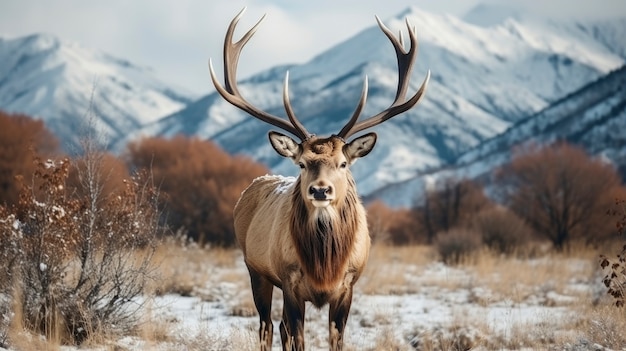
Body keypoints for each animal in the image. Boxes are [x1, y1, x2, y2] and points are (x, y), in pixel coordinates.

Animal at [210, 6, 428, 350]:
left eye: (343, 163)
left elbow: (334, 339)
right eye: (301, 163)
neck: (325, 266)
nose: (321, 190)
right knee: (266, 326)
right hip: (255, 269)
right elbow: (296, 335)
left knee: (279, 327)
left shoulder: (349, 283)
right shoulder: (289, 280)